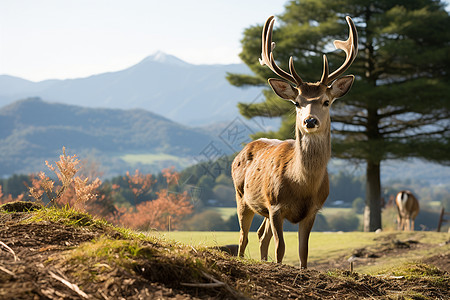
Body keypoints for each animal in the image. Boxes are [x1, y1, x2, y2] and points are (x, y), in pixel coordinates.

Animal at [232, 15, 358, 270]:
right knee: (243, 236)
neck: (301, 184)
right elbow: (280, 248)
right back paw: (242, 258)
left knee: (261, 235)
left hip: (262, 208)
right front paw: (279, 265)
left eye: (327, 101)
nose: (310, 120)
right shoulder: (275, 205)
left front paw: (300, 269)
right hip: (241, 196)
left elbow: (303, 252)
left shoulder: (313, 210)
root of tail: (241, 152)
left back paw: (263, 260)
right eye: (297, 102)